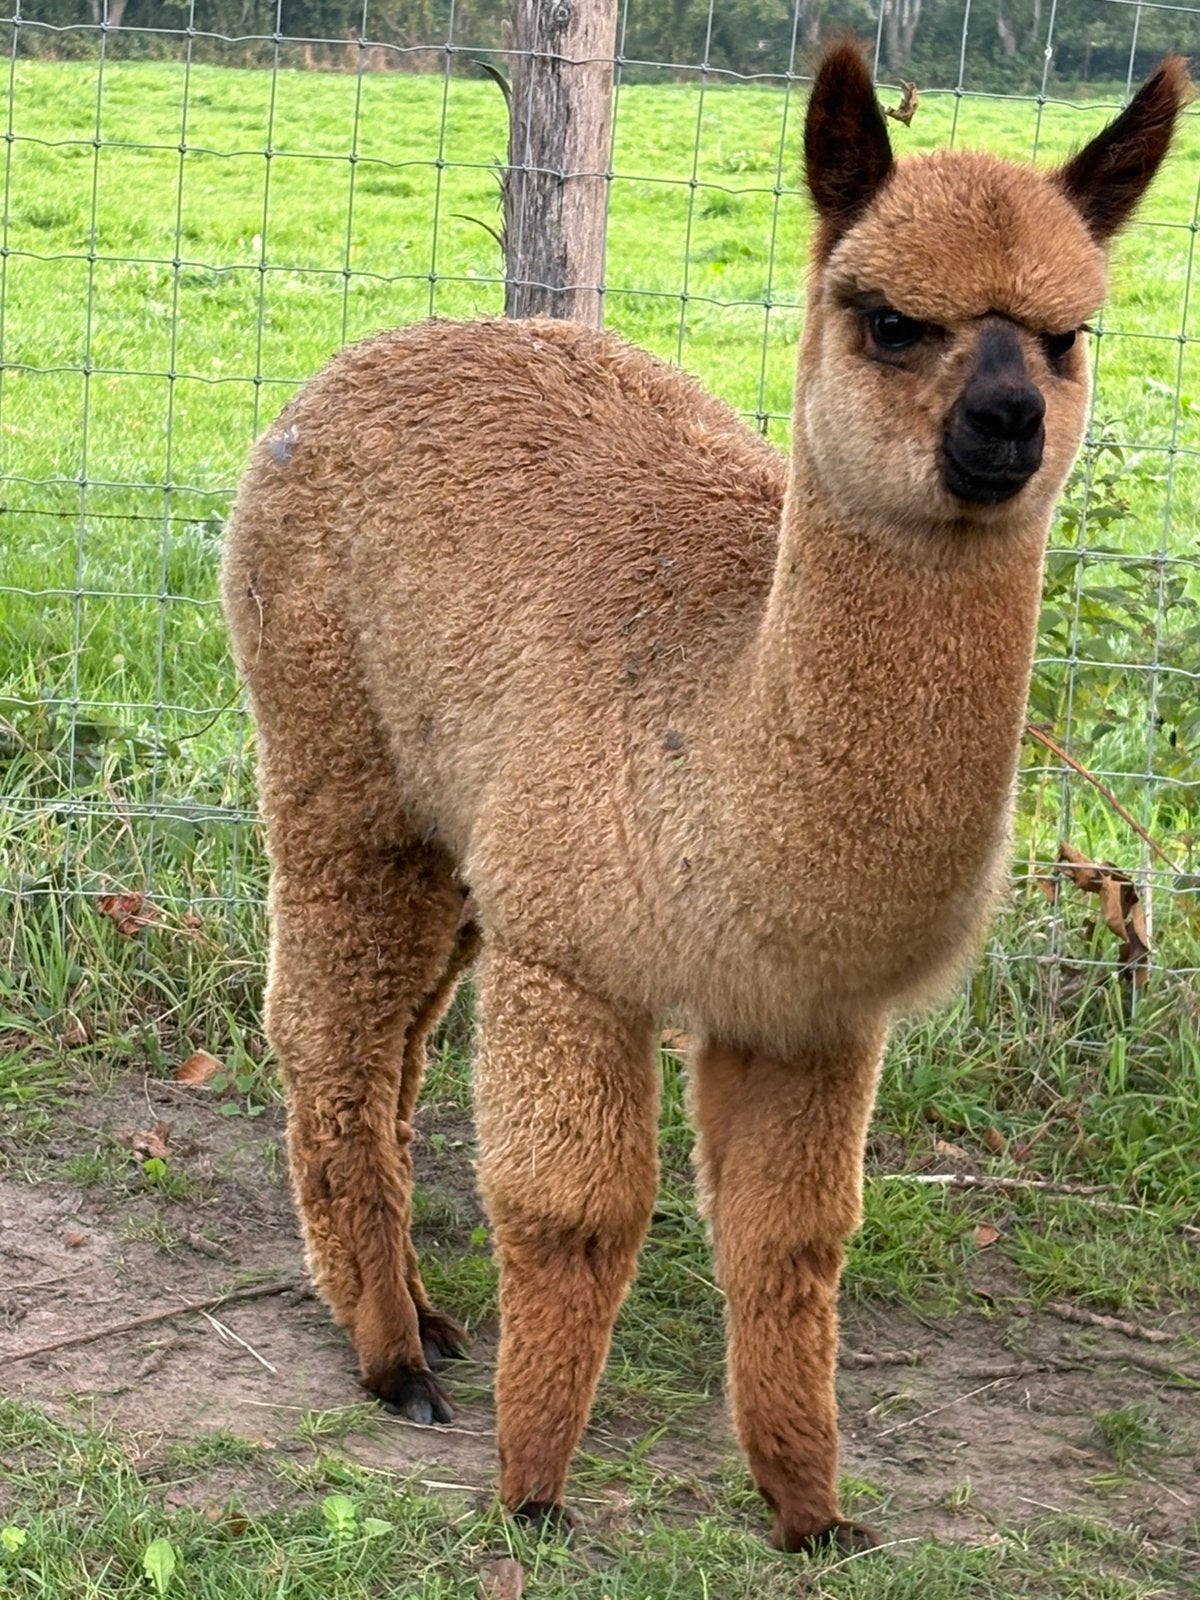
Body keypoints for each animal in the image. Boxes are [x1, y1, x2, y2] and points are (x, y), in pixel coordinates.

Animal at [221, 44, 1190, 1551]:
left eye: (1069, 334)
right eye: (890, 320)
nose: (1008, 426)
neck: (726, 749)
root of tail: (358, 356)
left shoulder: (810, 1015)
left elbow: (792, 1242)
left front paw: (811, 1509)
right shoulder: (576, 952)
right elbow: (571, 1215)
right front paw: (532, 1493)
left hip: (460, 823)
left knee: (400, 1031)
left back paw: (423, 1317)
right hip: (339, 756)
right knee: (329, 1027)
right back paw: (388, 1352)